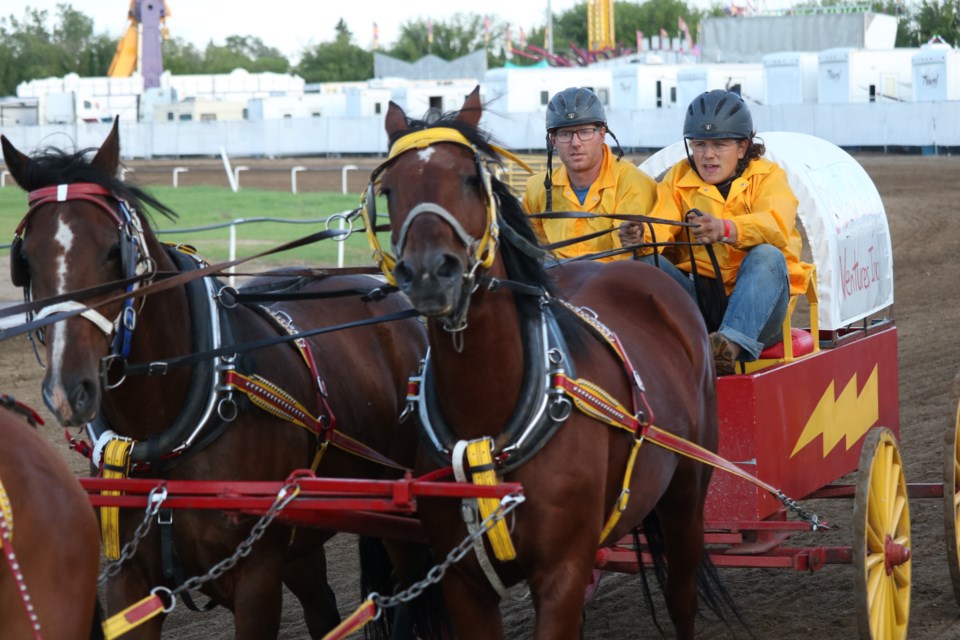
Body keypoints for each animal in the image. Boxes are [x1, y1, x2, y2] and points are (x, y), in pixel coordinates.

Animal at [374, 90, 720, 640]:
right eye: (388, 189)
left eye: (471, 179)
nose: (429, 273)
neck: (490, 418)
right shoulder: (464, 582)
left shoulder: (562, 569)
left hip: (687, 490)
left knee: (682, 594)